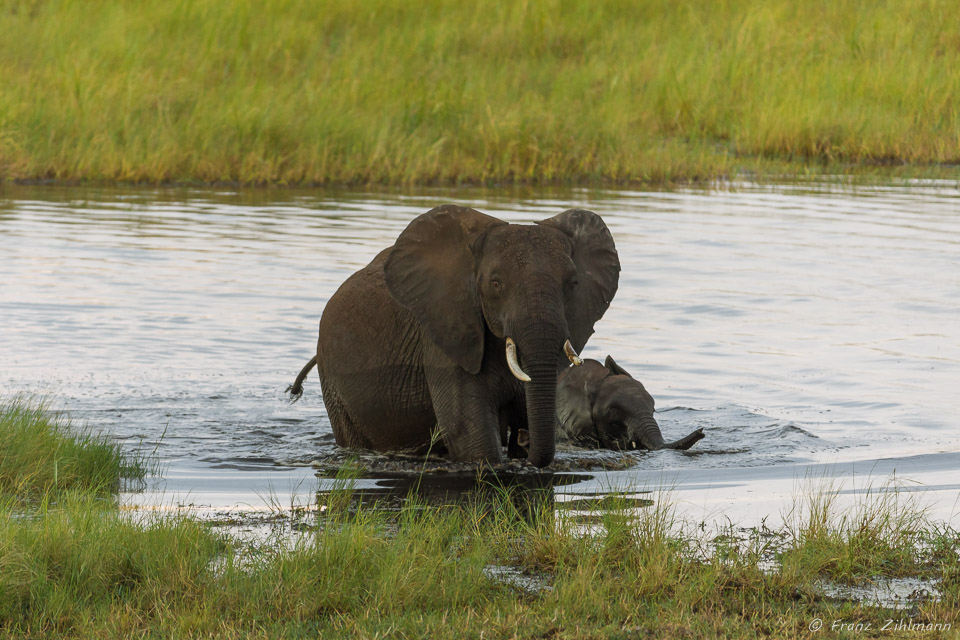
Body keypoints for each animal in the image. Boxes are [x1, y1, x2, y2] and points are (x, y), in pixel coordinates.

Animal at [290, 202, 624, 468]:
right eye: (495, 283)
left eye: (573, 283)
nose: (523, 444)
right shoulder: (443, 336)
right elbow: (473, 438)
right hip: (334, 385)